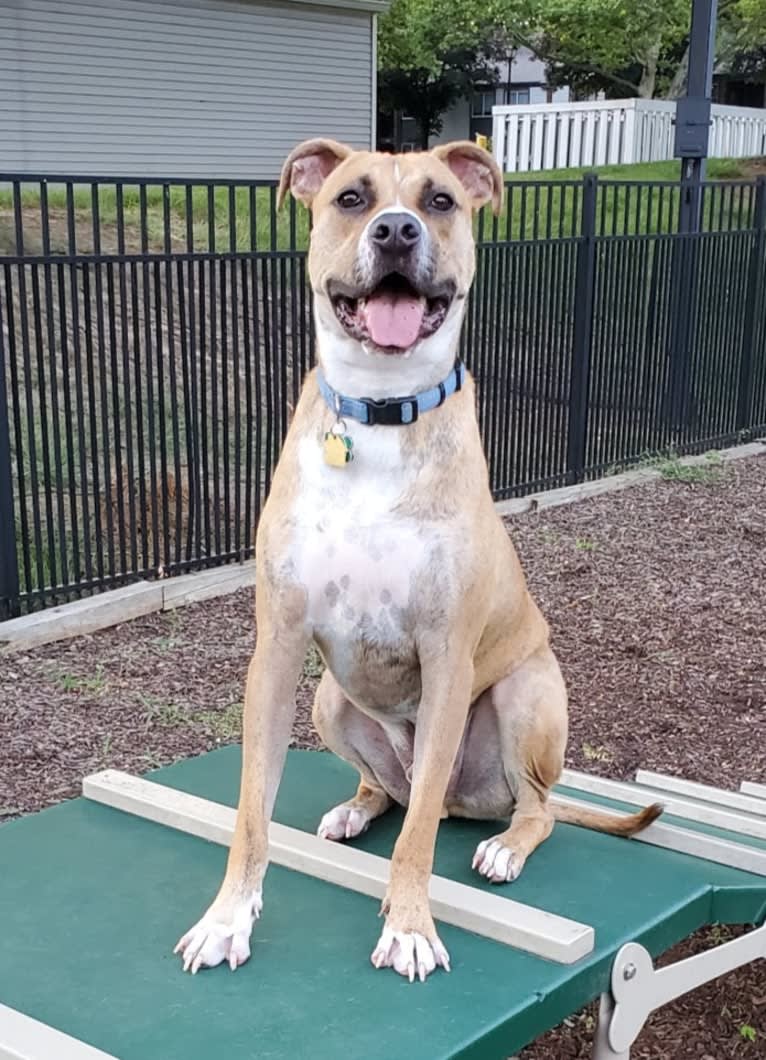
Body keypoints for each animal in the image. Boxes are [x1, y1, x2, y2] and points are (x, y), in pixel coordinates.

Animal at [173, 140, 661, 983]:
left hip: (524, 697)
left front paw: (408, 928)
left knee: (522, 807)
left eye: (440, 201)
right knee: (393, 790)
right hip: (329, 701)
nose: (397, 230)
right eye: (351, 198)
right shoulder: (277, 652)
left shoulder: (447, 659)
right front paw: (227, 918)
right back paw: (356, 805)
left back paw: (505, 846)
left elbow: (420, 837)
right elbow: (250, 816)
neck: (379, 415)